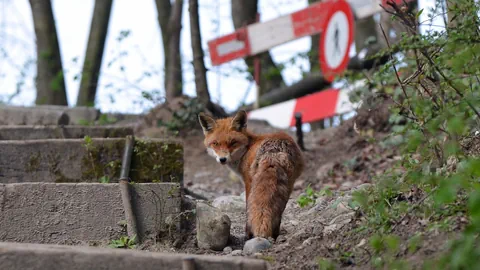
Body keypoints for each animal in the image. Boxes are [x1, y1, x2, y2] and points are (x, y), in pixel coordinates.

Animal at [198, 110, 304, 239]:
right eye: (215, 143)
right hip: (289, 185)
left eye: (233, 142)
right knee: (279, 211)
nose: (222, 159)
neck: (247, 149)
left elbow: (248, 207)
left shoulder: (247, 181)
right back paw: (275, 234)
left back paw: (249, 235)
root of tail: (275, 149)